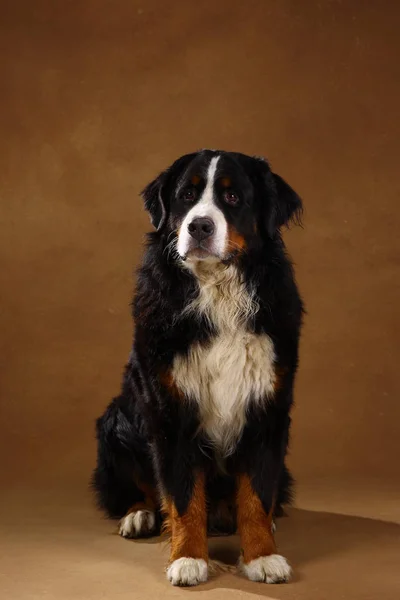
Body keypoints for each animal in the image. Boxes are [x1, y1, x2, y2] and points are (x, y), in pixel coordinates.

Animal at [91, 149, 304, 584]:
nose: (199, 226)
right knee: (137, 489)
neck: (218, 292)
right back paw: (139, 515)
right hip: (117, 421)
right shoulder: (170, 410)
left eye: (233, 197)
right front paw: (188, 558)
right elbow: (183, 494)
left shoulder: (267, 408)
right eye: (186, 195)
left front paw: (262, 556)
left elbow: (257, 493)